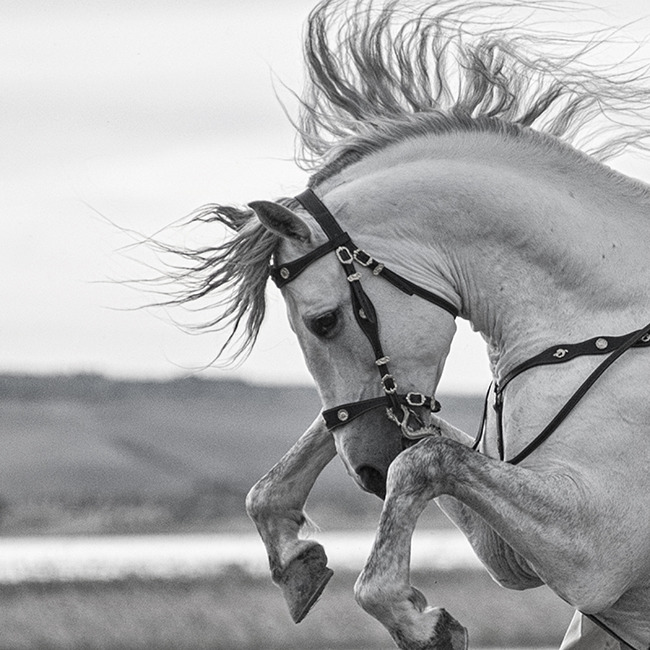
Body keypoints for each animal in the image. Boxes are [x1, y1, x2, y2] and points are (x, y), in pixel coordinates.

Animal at [157, 1, 650, 647]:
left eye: (323, 321)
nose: (366, 472)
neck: (592, 325)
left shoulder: (598, 551)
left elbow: (423, 460)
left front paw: (414, 619)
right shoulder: (521, 556)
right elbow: (416, 452)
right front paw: (294, 553)